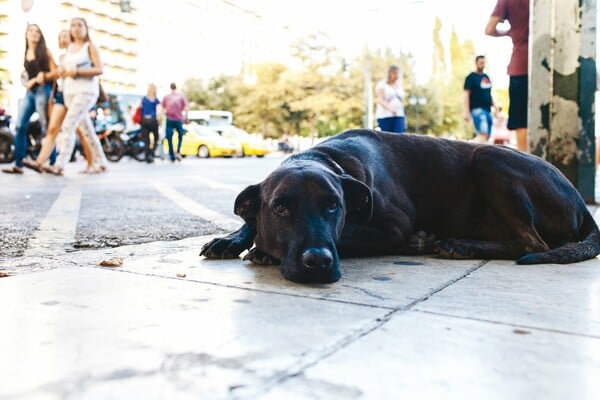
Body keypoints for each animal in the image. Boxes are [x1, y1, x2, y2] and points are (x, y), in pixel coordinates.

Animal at [199, 130, 596, 282]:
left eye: (334, 206)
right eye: (280, 207)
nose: (318, 262)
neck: (327, 158)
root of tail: (581, 201)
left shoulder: (393, 226)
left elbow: (350, 236)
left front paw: (262, 250)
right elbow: (249, 219)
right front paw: (231, 239)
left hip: (489, 157)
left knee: (533, 243)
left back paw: (459, 245)